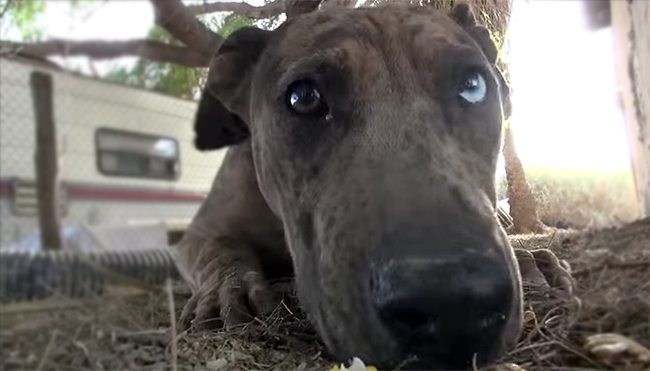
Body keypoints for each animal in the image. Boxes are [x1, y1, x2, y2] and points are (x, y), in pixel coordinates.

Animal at [176, 3, 572, 371]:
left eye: (473, 85)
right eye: (303, 97)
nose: (456, 301)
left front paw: (528, 260)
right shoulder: (200, 232)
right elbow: (221, 253)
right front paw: (229, 289)